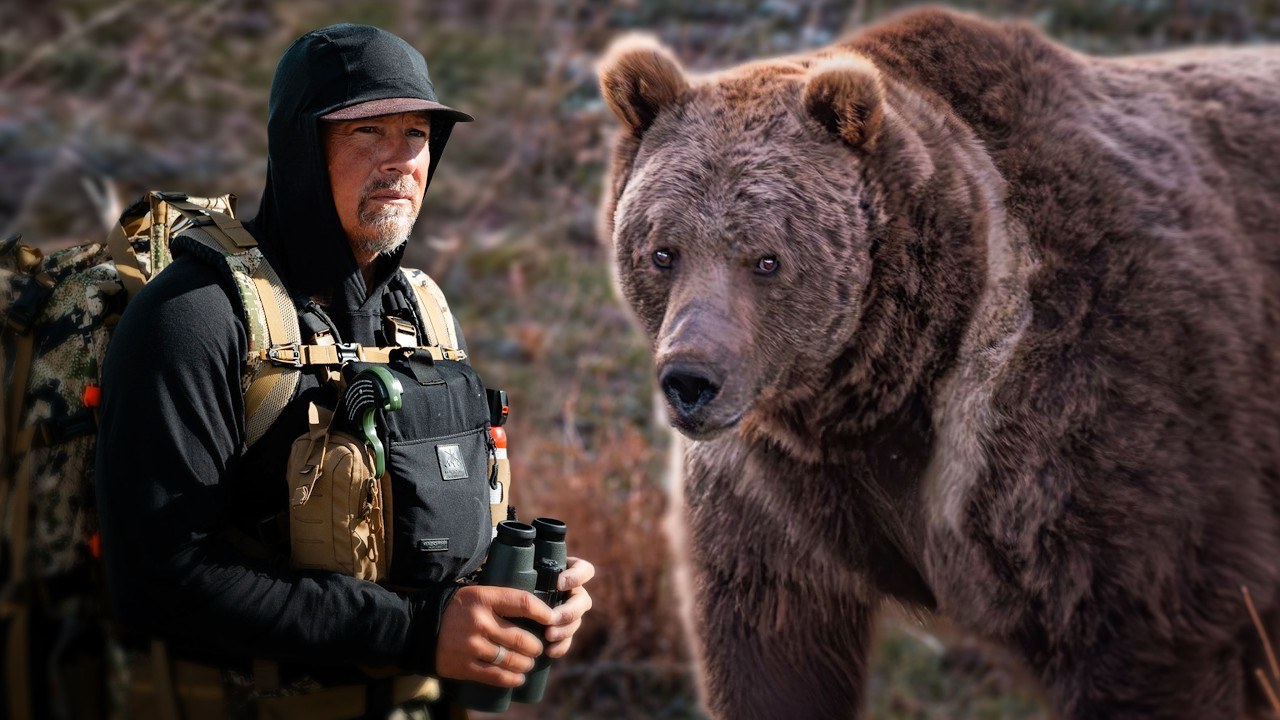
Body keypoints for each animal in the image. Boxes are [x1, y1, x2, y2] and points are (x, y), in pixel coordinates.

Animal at [597, 7, 1280, 719]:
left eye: (766, 259)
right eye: (663, 251)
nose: (691, 382)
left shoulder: (1081, 423)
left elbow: (1149, 631)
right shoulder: (769, 492)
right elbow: (771, 654)